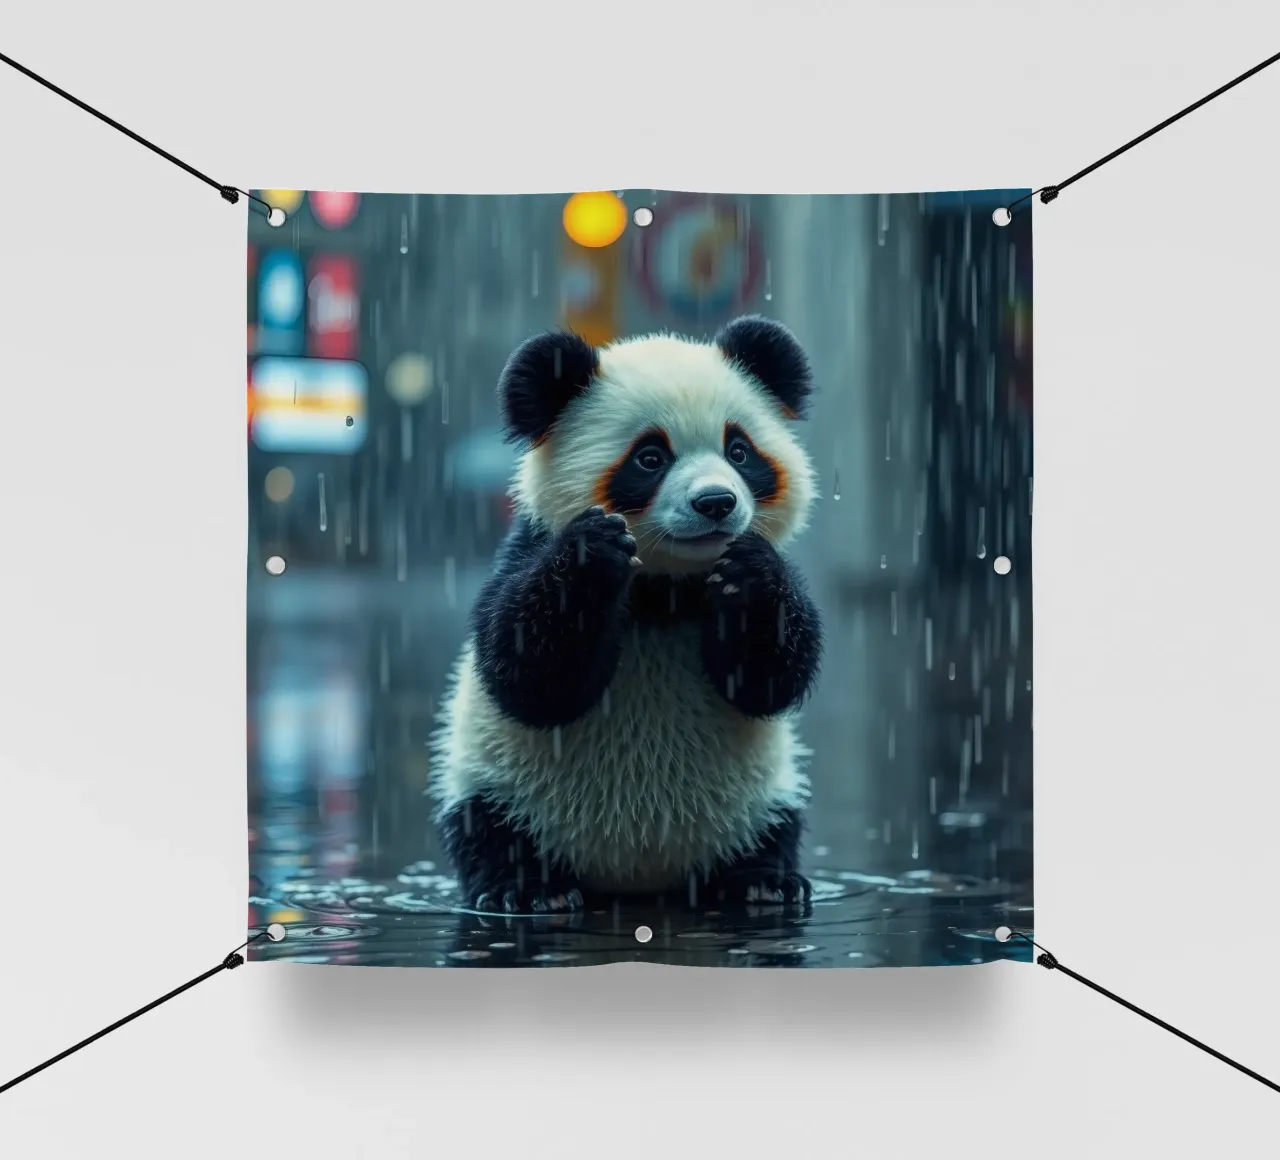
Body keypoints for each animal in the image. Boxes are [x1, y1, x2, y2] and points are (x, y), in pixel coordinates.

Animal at [427, 314, 823, 914]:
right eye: (650, 458)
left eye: (738, 450)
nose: (716, 503)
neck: (667, 589)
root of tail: (636, 878)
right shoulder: (524, 550)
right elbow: (527, 674)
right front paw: (591, 555)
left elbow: (768, 681)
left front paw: (751, 574)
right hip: (501, 785)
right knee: (489, 831)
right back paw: (529, 891)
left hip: (756, 796)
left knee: (774, 827)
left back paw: (761, 882)